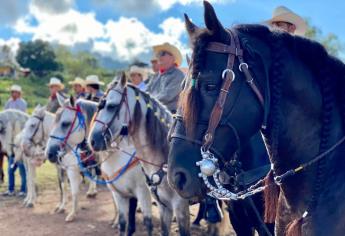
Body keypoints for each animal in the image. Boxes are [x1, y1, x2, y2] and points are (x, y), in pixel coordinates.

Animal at [88, 75, 191, 236]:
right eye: (99, 106)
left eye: (111, 106)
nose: (93, 140)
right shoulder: (162, 205)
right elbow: (125, 223)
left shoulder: (179, 206)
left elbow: (148, 223)